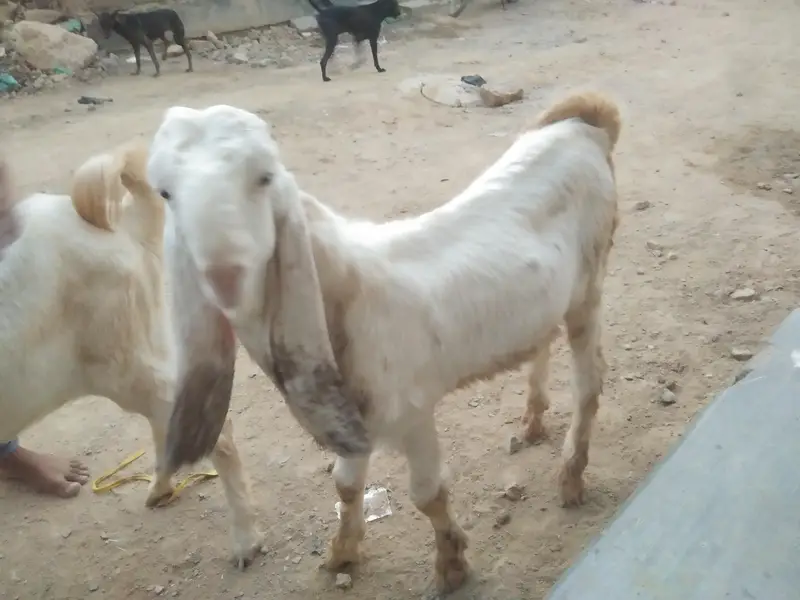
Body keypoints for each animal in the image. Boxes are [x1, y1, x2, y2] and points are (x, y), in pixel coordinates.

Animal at [153, 91, 621, 592]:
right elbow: (344, 485)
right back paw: (533, 420)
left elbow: (428, 494)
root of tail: (586, 119)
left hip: (589, 286)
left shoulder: (412, 411)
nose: (223, 277)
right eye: (165, 193)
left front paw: (451, 567)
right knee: (543, 341)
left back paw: (571, 478)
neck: (345, 290)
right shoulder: (356, 417)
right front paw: (342, 553)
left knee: (590, 385)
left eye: (264, 177)